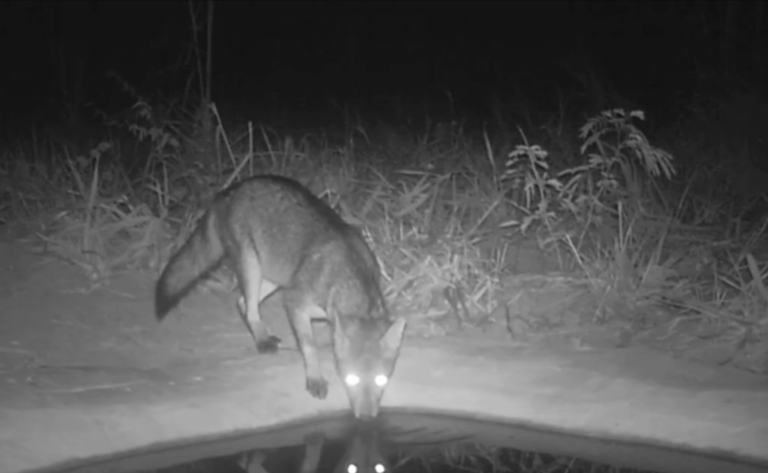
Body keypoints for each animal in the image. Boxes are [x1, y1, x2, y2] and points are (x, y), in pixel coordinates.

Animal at [155, 175, 406, 418]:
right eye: (351, 379)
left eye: (381, 380)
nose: (366, 418)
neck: (348, 274)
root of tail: (227, 191)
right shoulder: (294, 302)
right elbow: (309, 346)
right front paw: (315, 378)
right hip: (252, 267)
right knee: (249, 307)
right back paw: (262, 341)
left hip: (275, 276)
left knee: (243, 303)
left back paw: (264, 334)